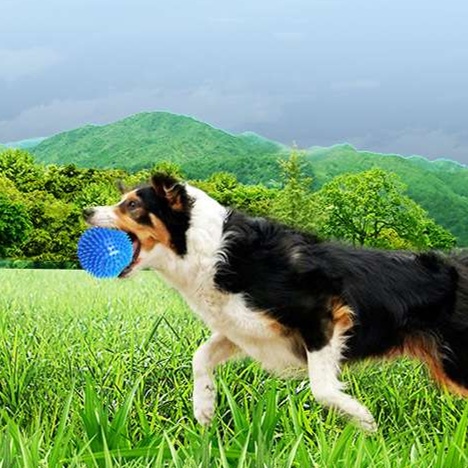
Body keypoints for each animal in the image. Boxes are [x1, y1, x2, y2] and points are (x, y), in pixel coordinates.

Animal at [83, 174, 468, 434]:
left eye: (132, 205)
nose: (86, 210)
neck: (208, 250)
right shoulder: (245, 327)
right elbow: (200, 357)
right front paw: (205, 408)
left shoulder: (321, 314)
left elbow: (322, 388)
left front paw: (363, 420)